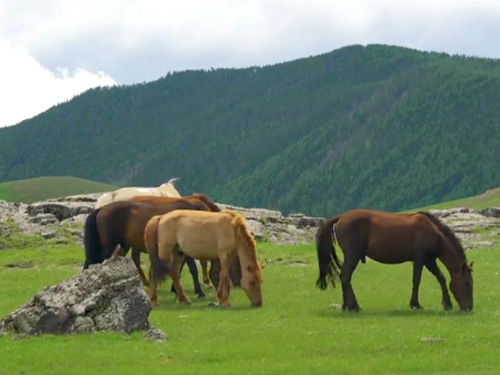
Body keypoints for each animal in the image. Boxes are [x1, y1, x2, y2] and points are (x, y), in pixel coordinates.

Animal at [314, 210, 474, 312]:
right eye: (467, 283)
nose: (469, 307)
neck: (433, 232)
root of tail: (340, 217)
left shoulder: (430, 261)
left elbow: (441, 278)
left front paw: (447, 303)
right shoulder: (420, 259)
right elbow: (417, 280)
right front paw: (415, 304)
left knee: (344, 277)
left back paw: (346, 306)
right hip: (353, 256)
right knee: (346, 276)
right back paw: (354, 306)